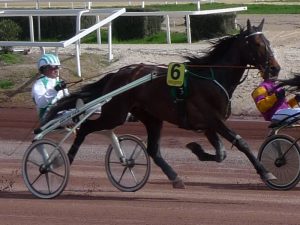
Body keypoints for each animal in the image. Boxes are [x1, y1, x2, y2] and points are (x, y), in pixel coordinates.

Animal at [44, 18, 282, 188]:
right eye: (257, 43)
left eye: (269, 43)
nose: (275, 68)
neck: (213, 77)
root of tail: (117, 74)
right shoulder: (213, 119)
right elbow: (240, 143)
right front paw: (266, 172)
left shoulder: (207, 125)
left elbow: (221, 153)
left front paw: (196, 149)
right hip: (116, 114)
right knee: (85, 127)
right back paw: (61, 161)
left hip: (152, 118)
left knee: (153, 150)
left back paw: (175, 177)